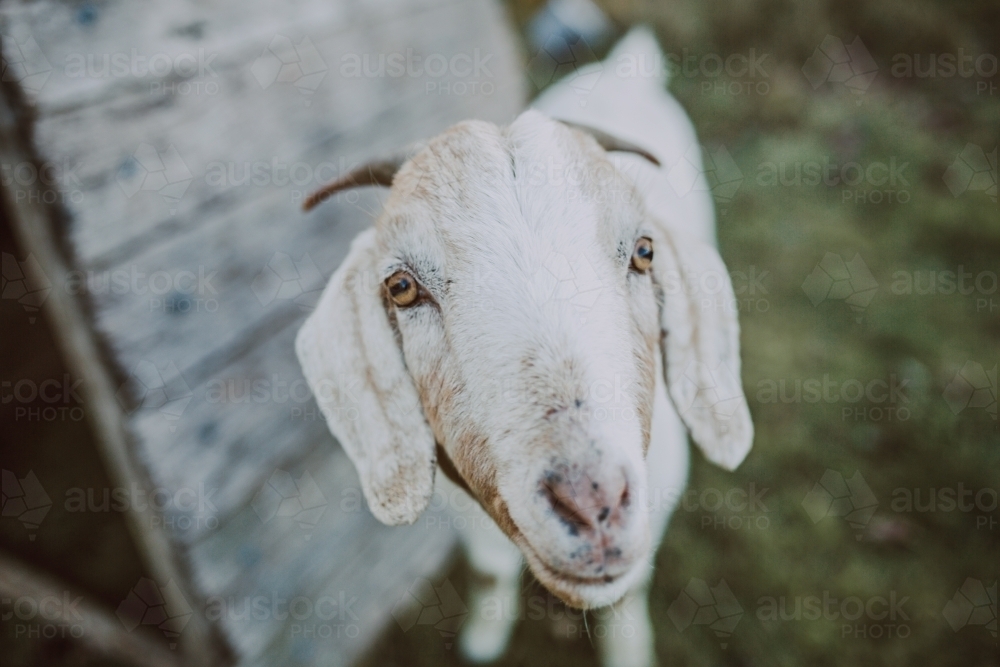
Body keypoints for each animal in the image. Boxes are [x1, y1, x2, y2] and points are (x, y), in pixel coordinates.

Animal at [294, 26, 752, 667]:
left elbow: (630, 591)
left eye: (644, 251)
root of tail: (624, 68)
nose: (592, 504)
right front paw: (484, 637)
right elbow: (490, 570)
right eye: (401, 286)